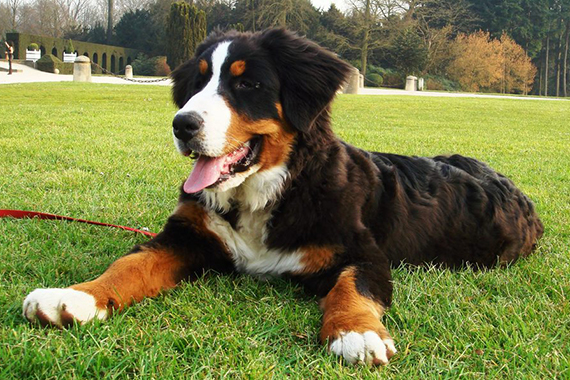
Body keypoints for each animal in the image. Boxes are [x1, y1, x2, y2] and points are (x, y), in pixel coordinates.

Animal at [22, 28, 540, 366]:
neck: (265, 193)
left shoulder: (363, 252)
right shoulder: (189, 236)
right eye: (197, 82)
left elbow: (351, 286)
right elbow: (130, 264)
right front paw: (74, 296)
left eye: (246, 83)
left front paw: (356, 333)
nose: (182, 124)